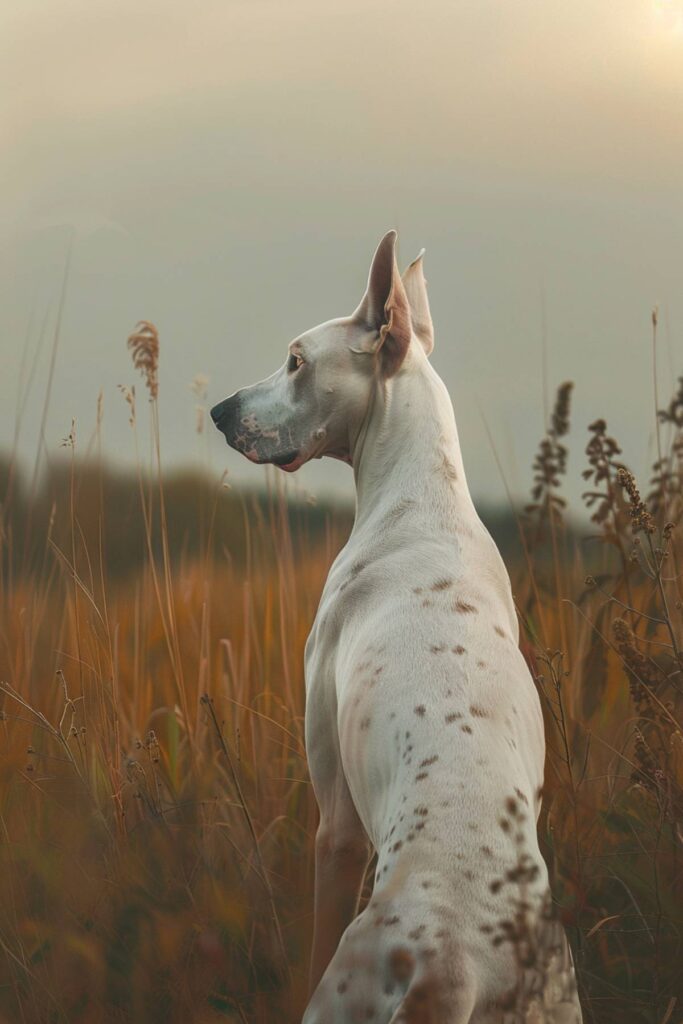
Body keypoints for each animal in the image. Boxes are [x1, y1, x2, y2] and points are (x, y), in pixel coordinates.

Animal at [211, 234, 581, 1024]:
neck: (420, 495)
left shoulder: (338, 827)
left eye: (296, 360)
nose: (220, 411)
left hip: (345, 981)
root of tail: (453, 967)